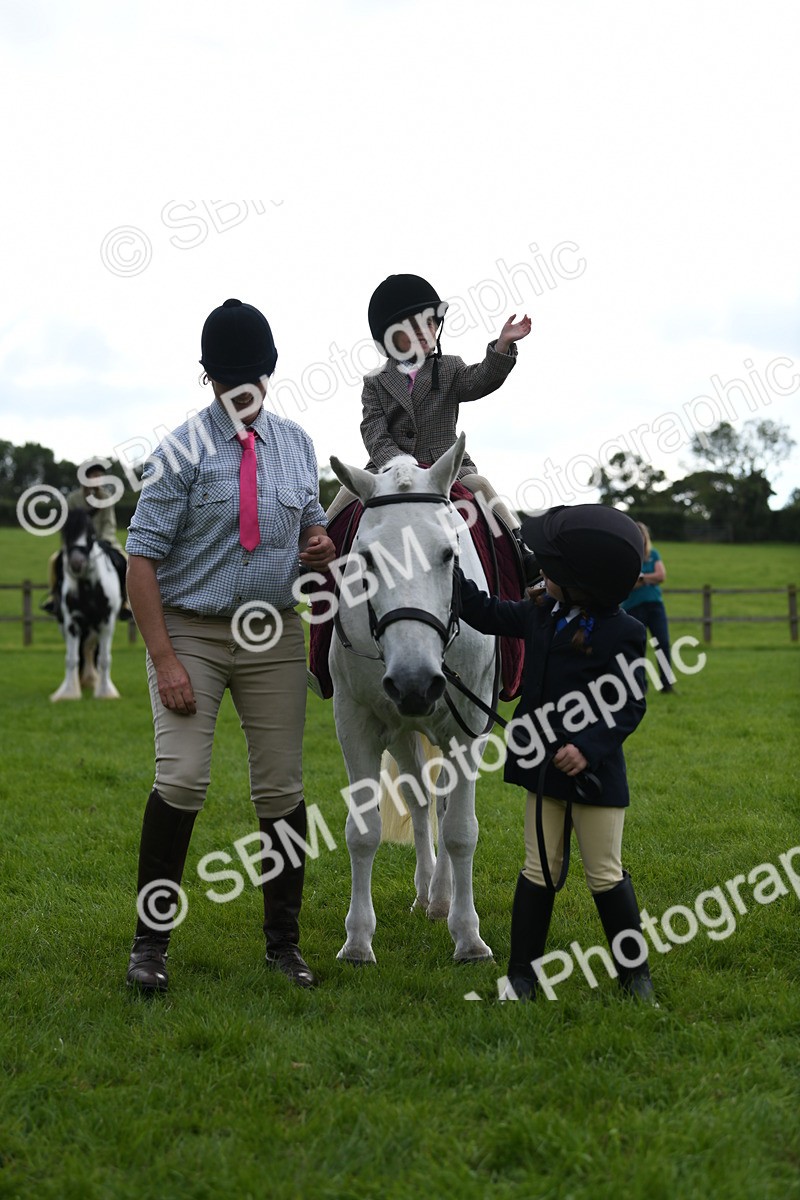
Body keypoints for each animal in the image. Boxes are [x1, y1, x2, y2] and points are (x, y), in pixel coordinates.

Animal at [50, 508, 123, 702]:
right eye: (65, 533)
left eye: (91, 534)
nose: (77, 563)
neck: (89, 586)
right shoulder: (71, 622)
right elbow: (72, 658)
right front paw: (68, 692)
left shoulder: (106, 622)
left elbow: (104, 659)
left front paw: (105, 692)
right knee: (84, 650)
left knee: (90, 649)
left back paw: (91, 679)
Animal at [328, 434, 498, 965]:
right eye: (366, 560)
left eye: (447, 554)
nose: (414, 684)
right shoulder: (356, 720)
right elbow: (363, 832)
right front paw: (357, 940)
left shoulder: (468, 725)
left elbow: (461, 831)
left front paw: (469, 937)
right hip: (404, 731)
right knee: (422, 804)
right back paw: (428, 892)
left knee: (442, 809)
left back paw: (443, 900)